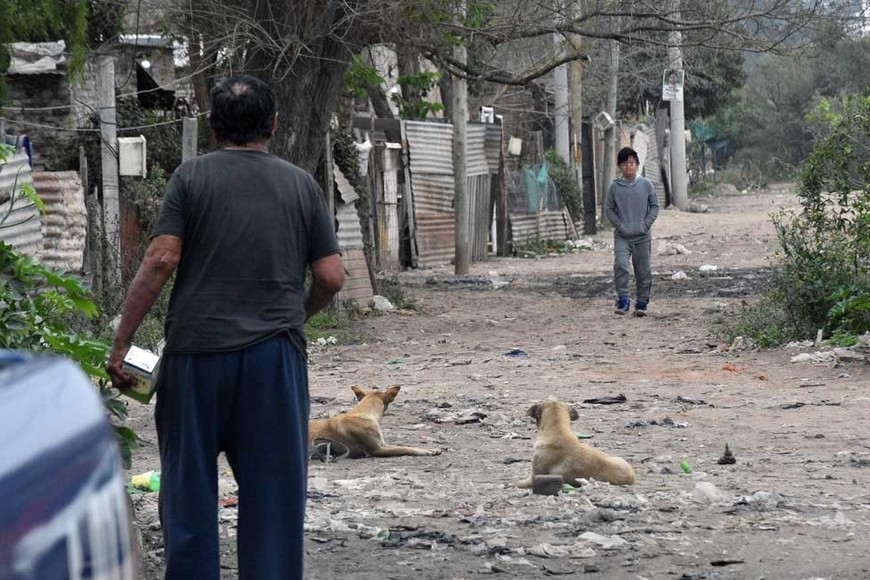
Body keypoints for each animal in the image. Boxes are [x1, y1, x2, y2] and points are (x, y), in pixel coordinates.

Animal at [308, 388, 442, 460]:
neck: (366, 414)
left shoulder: (383, 444)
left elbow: (406, 446)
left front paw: (431, 449)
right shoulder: (377, 450)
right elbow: (405, 448)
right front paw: (426, 452)